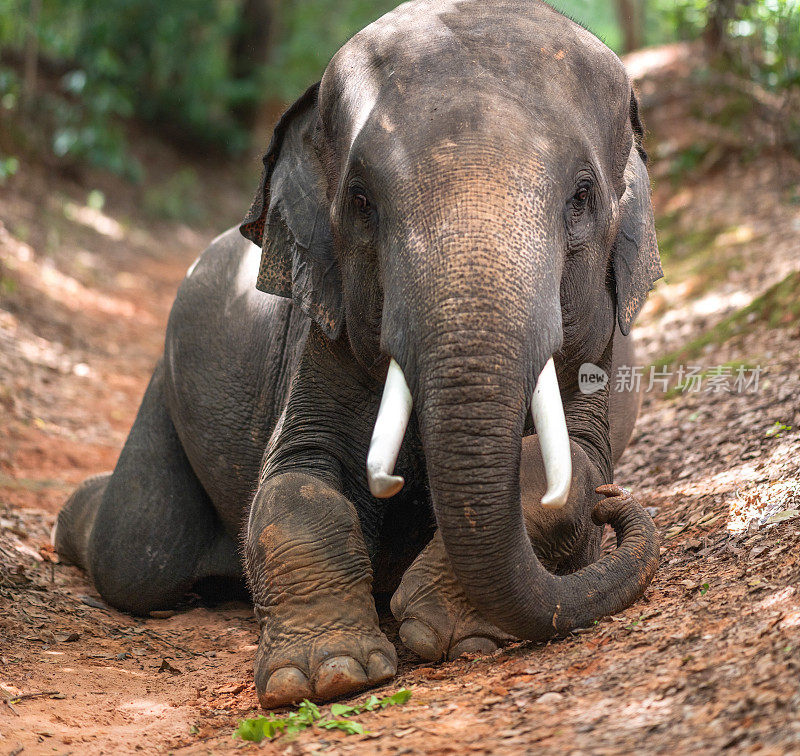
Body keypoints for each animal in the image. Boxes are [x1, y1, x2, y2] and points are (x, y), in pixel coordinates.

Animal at [54, 0, 664, 708]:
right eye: (362, 201)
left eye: (582, 197)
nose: (617, 506)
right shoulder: (320, 341)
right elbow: (296, 485)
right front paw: (326, 675)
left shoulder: (607, 353)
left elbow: (568, 473)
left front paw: (442, 633)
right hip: (164, 384)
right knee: (138, 549)